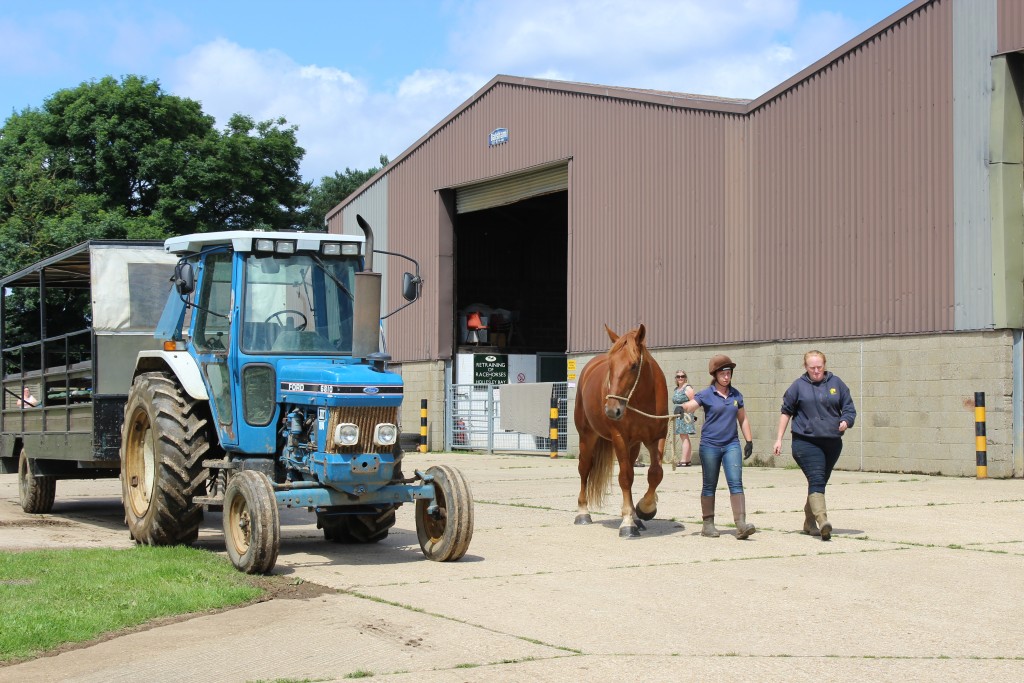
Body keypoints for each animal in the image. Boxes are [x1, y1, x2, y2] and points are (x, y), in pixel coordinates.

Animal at [573, 323, 667, 536]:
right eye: (610, 366)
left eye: (633, 365)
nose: (611, 410)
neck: (641, 399)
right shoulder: (620, 438)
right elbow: (625, 477)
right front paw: (627, 523)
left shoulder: (657, 437)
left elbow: (655, 473)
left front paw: (645, 509)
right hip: (587, 436)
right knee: (584, 469)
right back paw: (583, 513)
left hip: (634, 445)